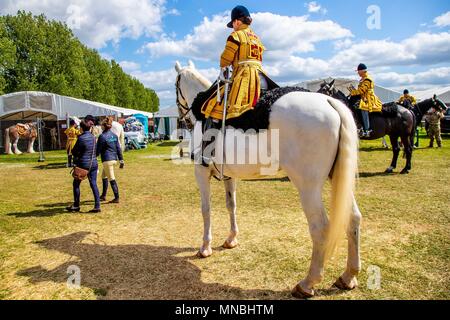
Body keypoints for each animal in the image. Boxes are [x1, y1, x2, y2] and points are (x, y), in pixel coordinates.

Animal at [175, 62, 362, 298]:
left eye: (175, 86)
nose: (182, 119)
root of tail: (329, 102)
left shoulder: (200, 171)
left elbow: (206, 209)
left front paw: (205, 247)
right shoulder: (229, 176)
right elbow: (231, 205)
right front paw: (231, 239)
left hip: (308, 187)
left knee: (320, 228)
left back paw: (307, 283)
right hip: (337, 178)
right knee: (353, 218)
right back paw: (348, 276)